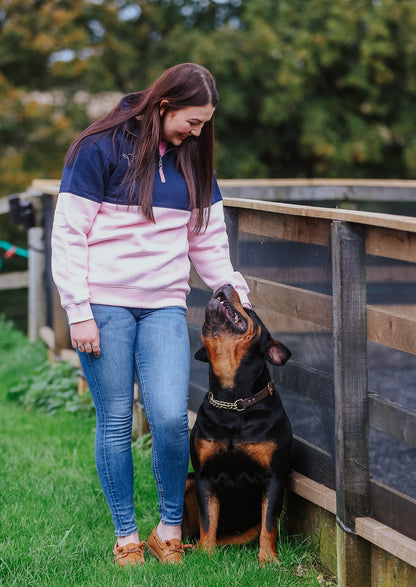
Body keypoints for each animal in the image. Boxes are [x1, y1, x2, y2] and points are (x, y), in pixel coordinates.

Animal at [184, 284, 294, 564]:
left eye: (249, 308)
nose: (225, 285)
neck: (232, 401)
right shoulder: (203, 475)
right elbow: (208, 519)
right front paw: (206, 555)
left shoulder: (273, 477)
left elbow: (269, 523)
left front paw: (268, 559)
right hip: (188, 480)